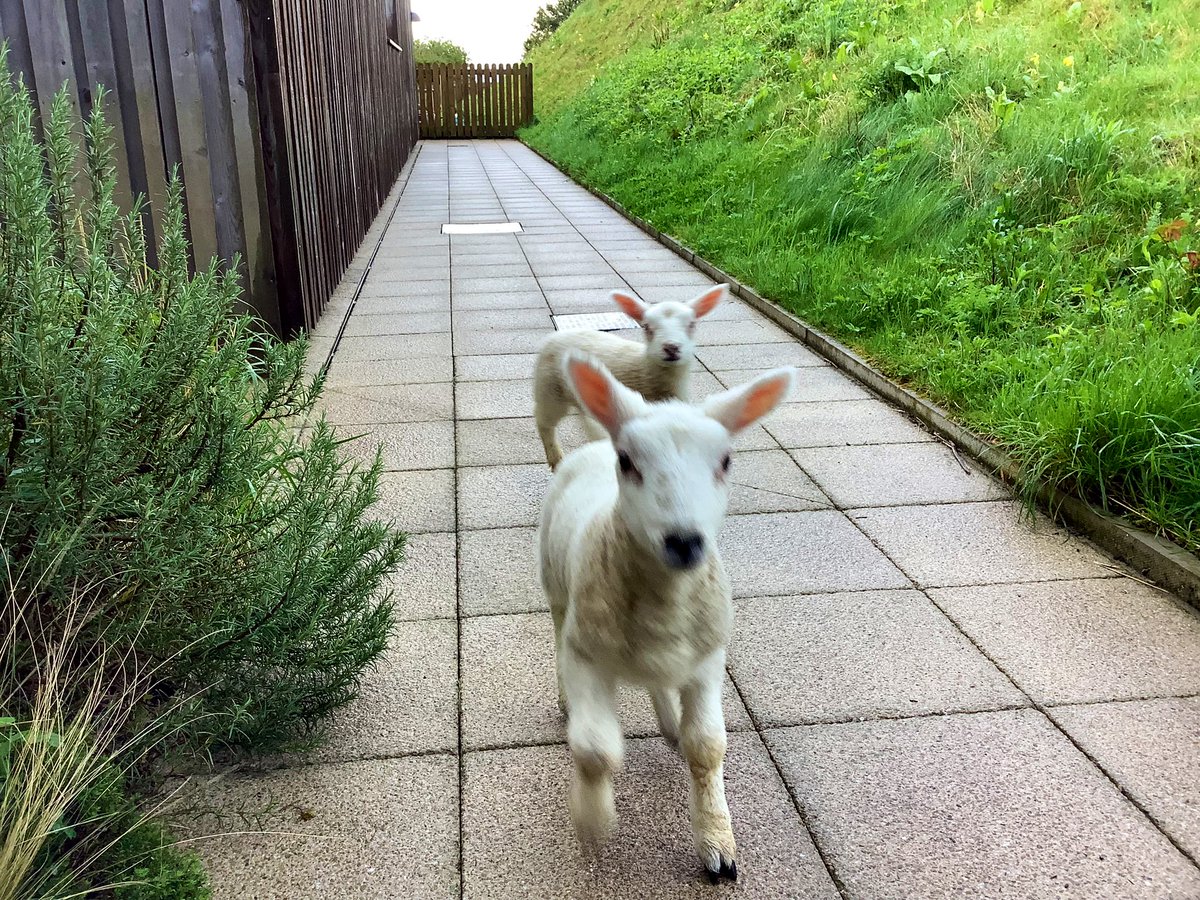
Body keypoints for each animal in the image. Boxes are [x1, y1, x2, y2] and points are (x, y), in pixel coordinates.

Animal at [533, 284, 727, 470]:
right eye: (647, 327)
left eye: (692, 324)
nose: (671, 347)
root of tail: (551, 337)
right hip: (550, 389)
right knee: (544, 421)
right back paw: (555, 457)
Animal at [537, 351, 796, 882]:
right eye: (628, 463)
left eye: (726, 462)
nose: (685, 541)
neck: (666, 595)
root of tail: (593, 444)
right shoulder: (586, 653)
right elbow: (595, 750)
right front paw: (593, 819)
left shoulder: (708, 660)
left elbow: (707, 746)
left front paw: (717, 844)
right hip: (555, 586)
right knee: (556, 630)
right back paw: (566, 699)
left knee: (660, 684)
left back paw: (669, 723)